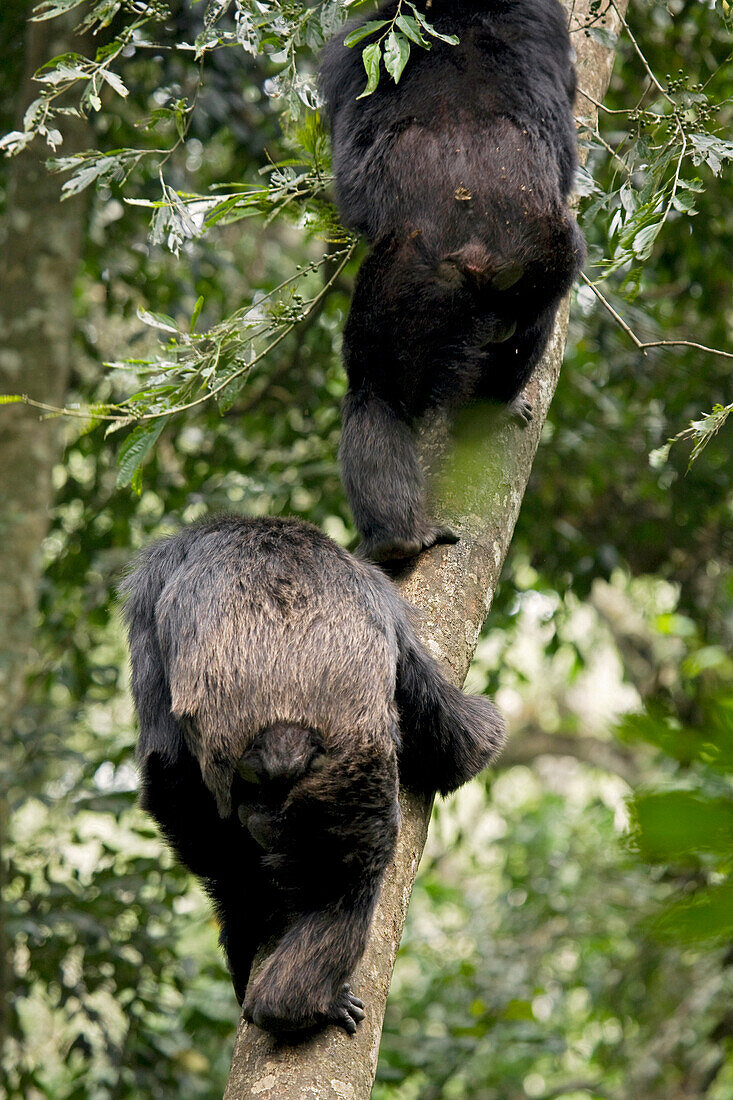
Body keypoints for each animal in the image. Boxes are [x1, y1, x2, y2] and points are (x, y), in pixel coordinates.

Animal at [124, 512, 501, 1029]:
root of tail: (283, 738)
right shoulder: (387, 598)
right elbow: (455, 739)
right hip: (352, 775)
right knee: (348, 881)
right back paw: (295, 1000)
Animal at [319, 0, 581, 563]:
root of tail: (479, 253)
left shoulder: (349, 51)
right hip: (540, 266)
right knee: (530, 332)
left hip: (405, 283)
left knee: (375, 392)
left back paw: (395, 537)